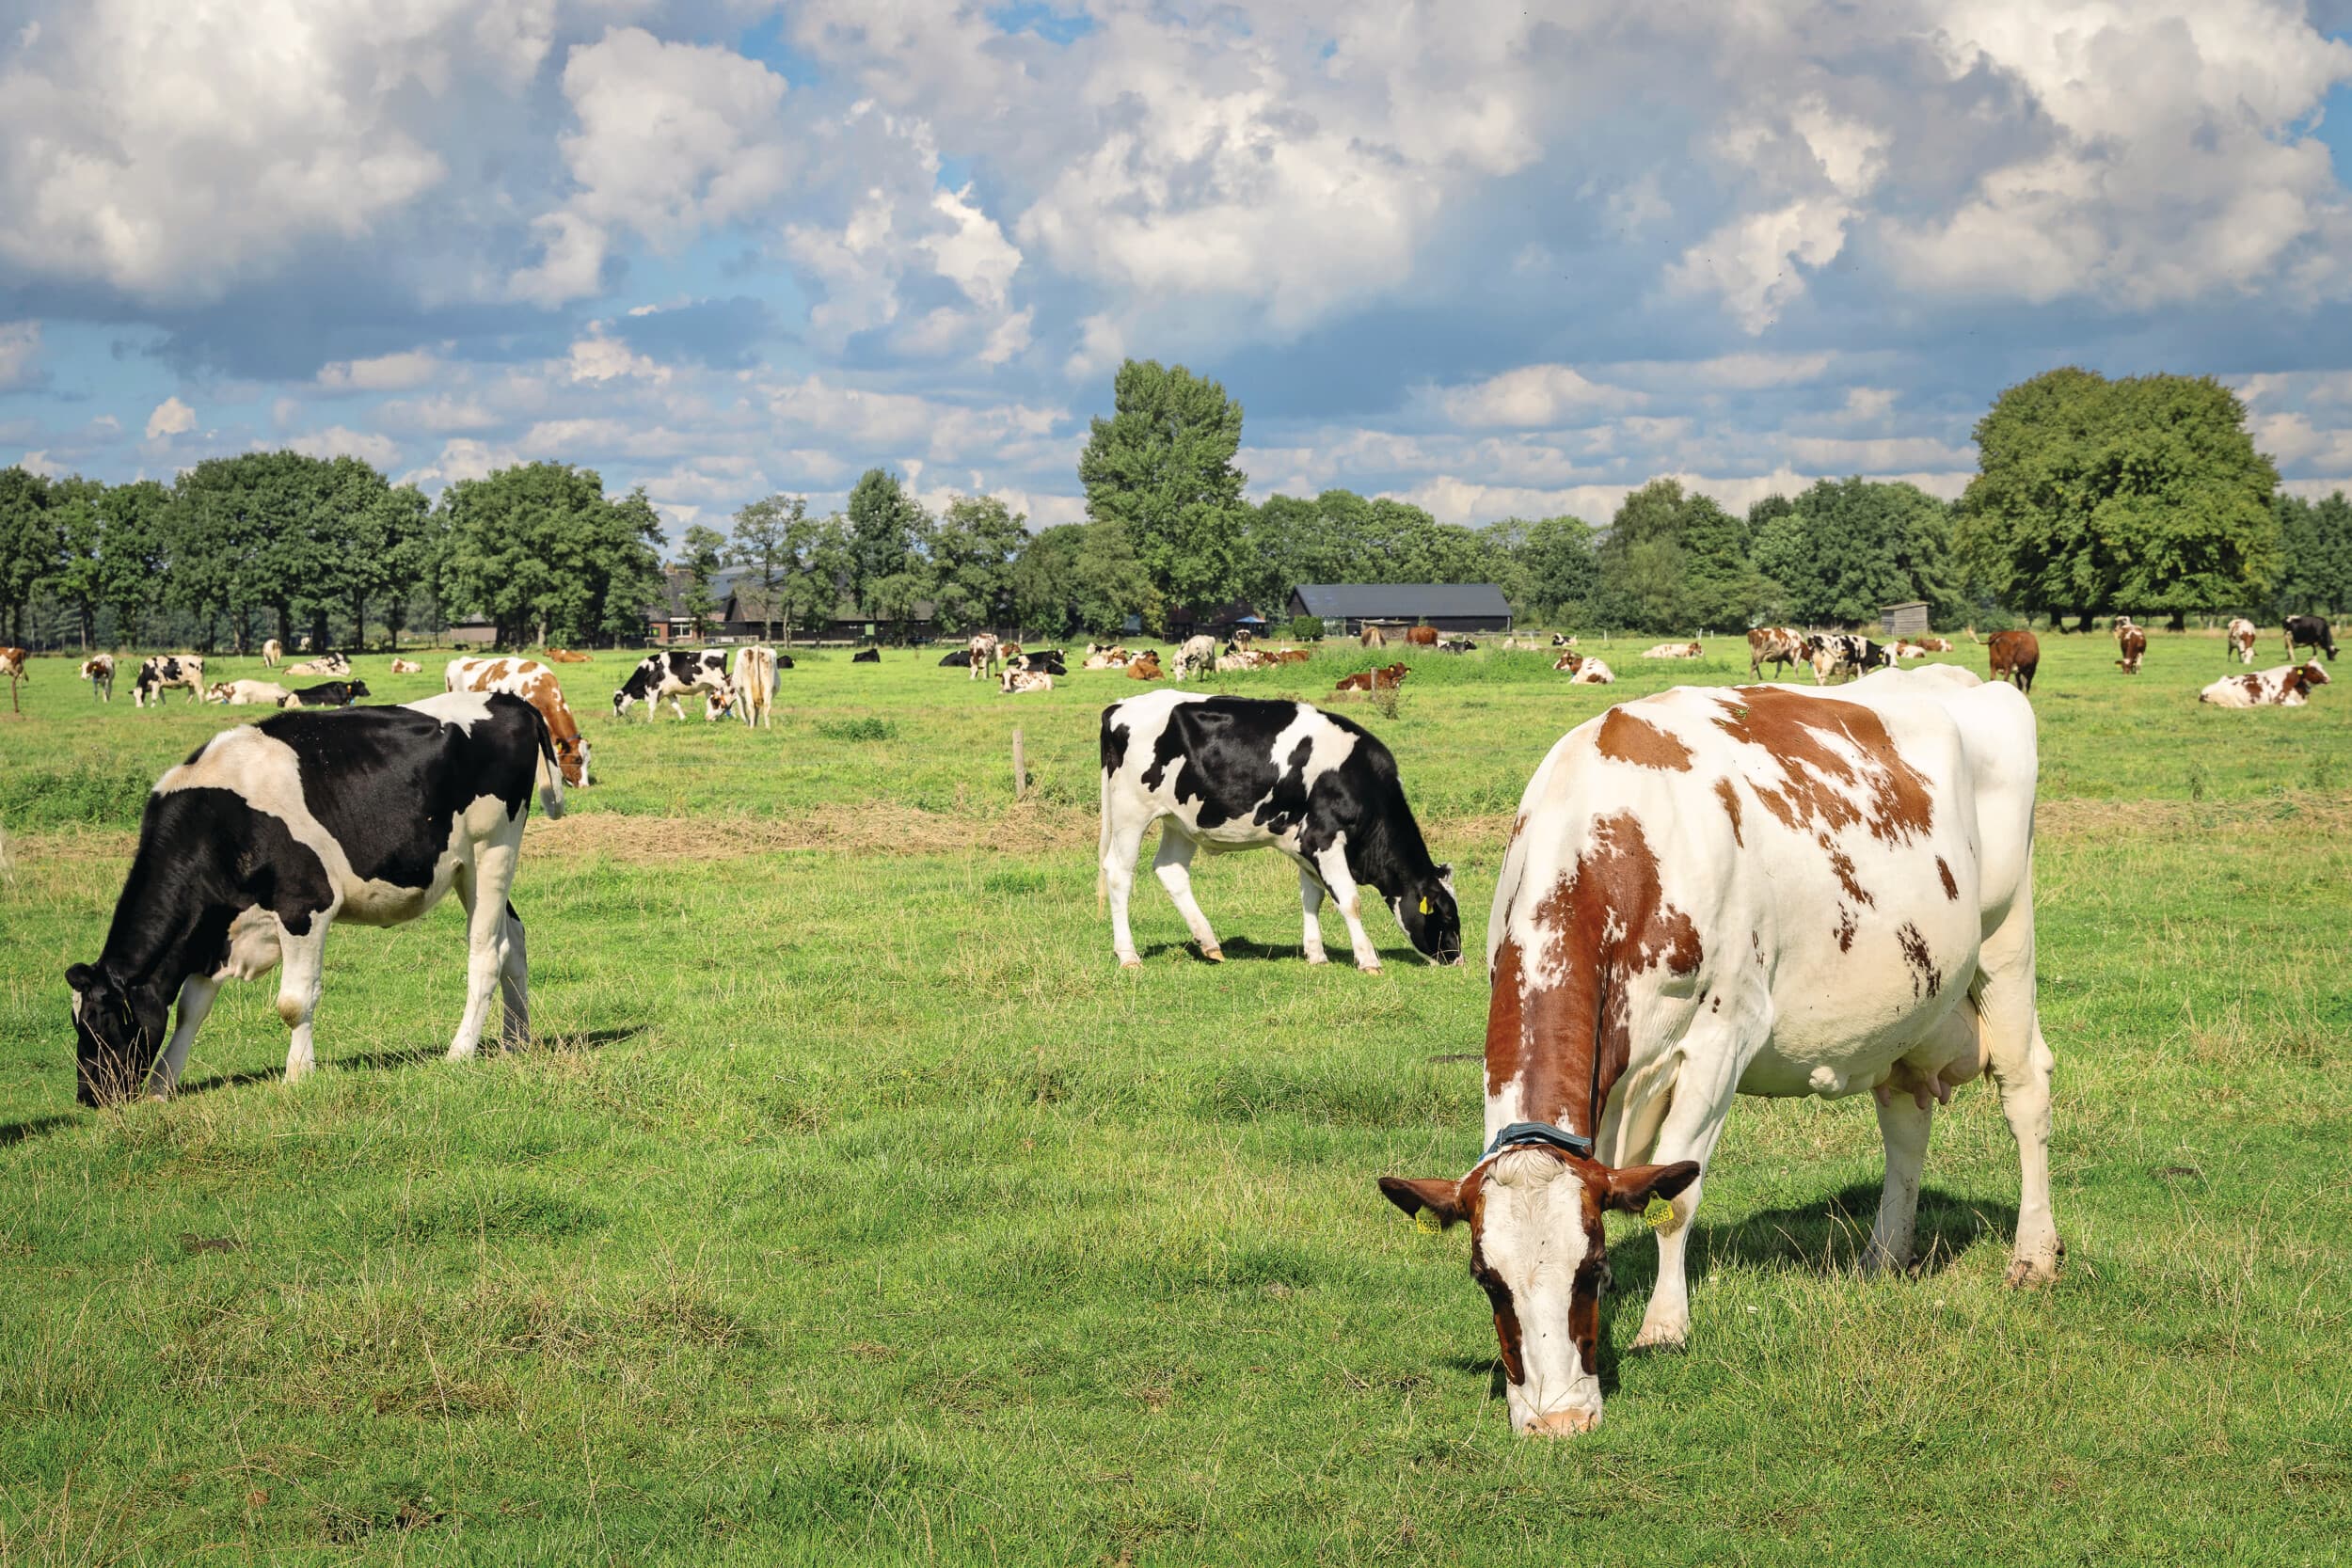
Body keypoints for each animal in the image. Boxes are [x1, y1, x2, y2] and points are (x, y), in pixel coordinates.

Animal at [65, 691, 563, 1106]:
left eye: (104, 1022)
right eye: (78, 1023)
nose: (88, 1097)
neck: (217, 823)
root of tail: (507, 699)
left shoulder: (305, 906)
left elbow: (293, 1001)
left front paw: (298, 1074)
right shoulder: (213, 929)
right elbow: (191, 1009)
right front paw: (162, 1085)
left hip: (493, 849)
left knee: (488, 951)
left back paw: (460, 1052)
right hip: (465, 869)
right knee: (514, 938)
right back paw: (516, 1040)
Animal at [1097, 690, 1462, 973]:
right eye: (1445, 915)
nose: (1457, 959)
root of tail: (1118, 707)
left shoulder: (1302, 843)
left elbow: (1313, 896)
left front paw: (1316, 954)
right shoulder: (1323, 838)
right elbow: (1349, 900)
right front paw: (1368, 959)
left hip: (1181, 819)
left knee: (1170, 869)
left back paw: (1209, 943)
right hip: (1131, 810)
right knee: (1118, 873)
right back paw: (1128, 956)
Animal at [1376, 670, 2055, 1437]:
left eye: (1591, 1269)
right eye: (1487, 1280)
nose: (1559, 1421)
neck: (1616, 841)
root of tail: (1964, 677)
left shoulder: (1722, 1039)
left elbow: (1677, 1196)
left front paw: (1664, 1325)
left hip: (2007, 937)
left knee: (2026, 1091)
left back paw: (2034, 1256)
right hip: (1907, 1008)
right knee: (1906, 1119)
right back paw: (1883, 1255)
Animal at [2199, 663, 2330, 708]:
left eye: (2322, 666)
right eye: (2313, 670)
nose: (2328, 678)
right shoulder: (2279, 700)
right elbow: (2295, 705)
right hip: (2231, 699)